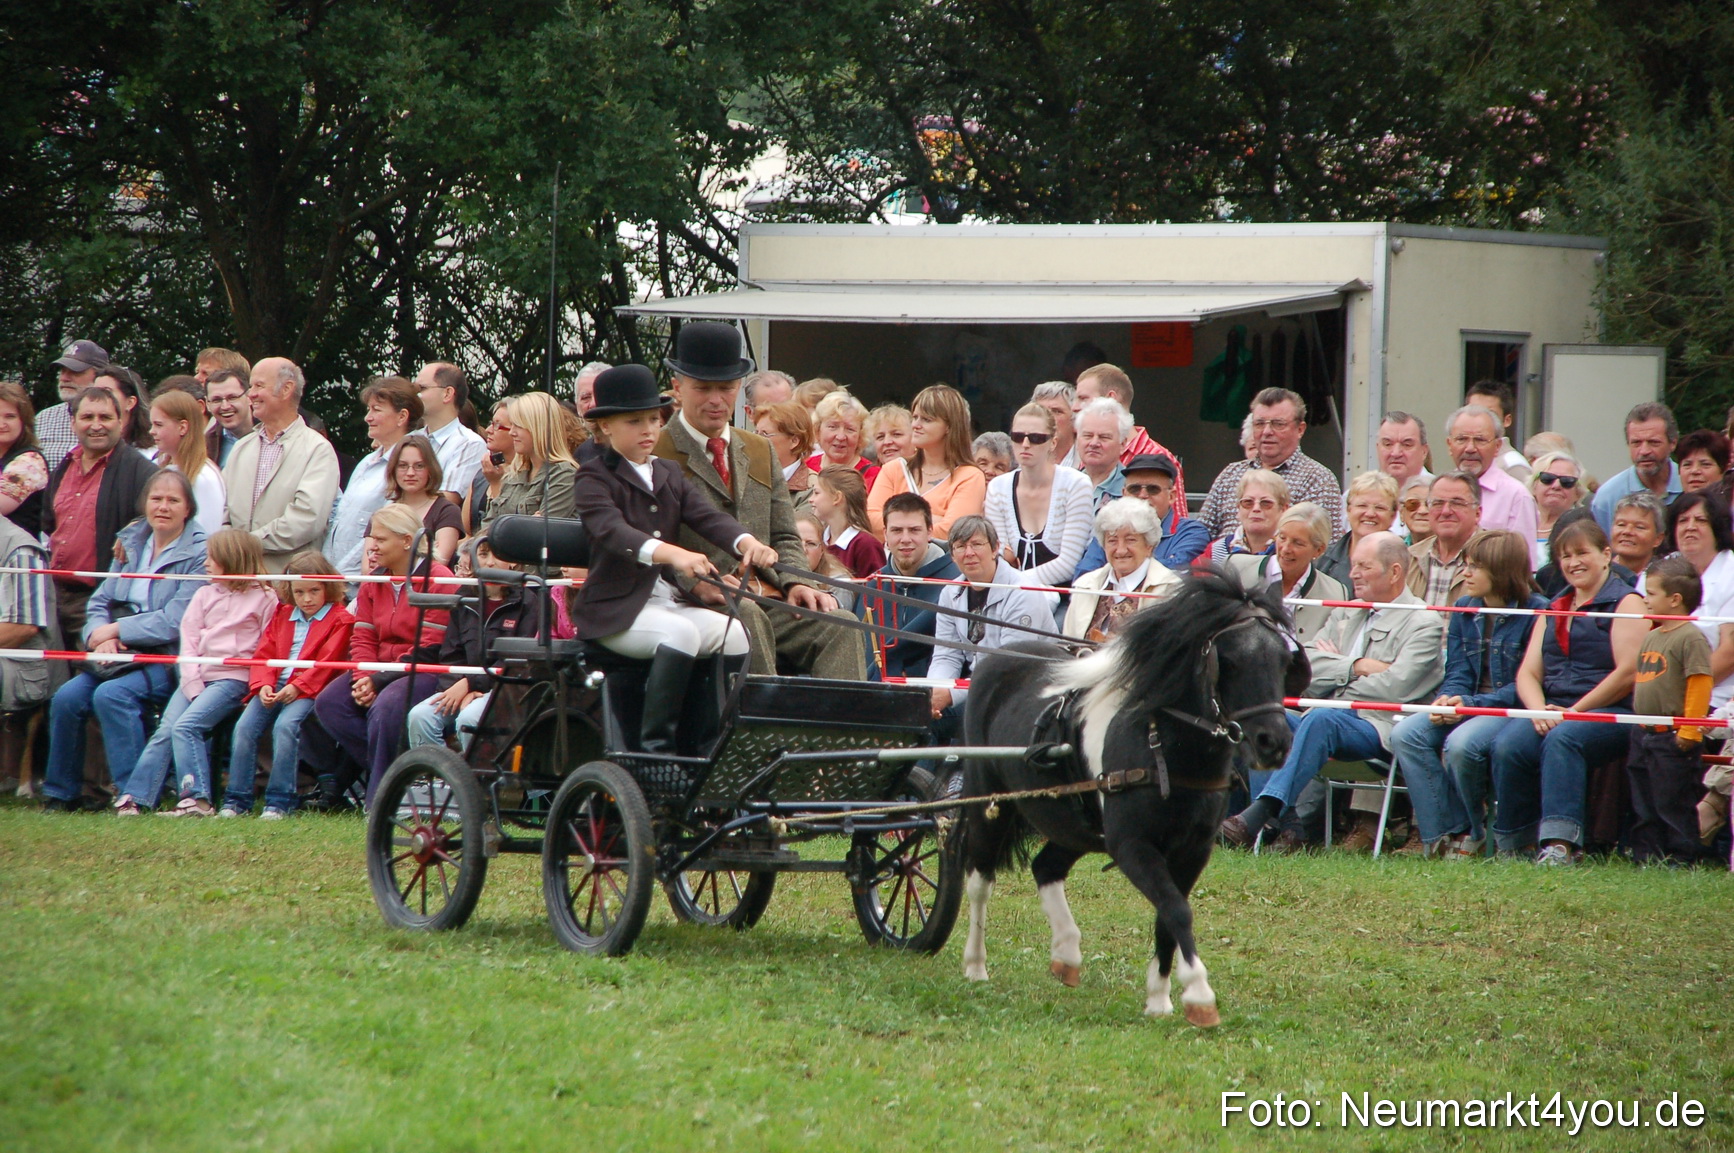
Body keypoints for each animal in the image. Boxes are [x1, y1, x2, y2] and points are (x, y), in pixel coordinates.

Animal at [955, 570, 1308, 1026]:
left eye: (1283, 661)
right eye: (1227, 660)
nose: (1274, 744)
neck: (1165, 749)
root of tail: (994, 660)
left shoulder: (1193, 851)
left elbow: (1167, 916)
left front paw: (1159, 999)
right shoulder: (1132, 847)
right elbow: (1177, 910)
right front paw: (1199, 995)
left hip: (1077, 826)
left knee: (1045, 867)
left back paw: (1067, 952)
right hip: (990, 806)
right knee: (980, 882)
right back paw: (975, 965)